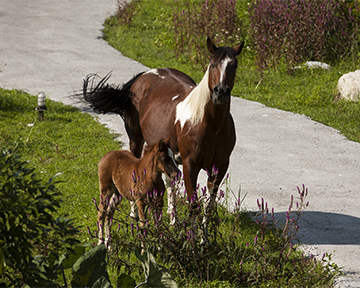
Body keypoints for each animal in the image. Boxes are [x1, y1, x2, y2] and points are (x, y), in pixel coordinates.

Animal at [80, 37, 245, 220]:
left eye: (234, 65)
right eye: (213, 64)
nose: (220, 92)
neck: (210, 124)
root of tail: (143, 76)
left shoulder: (220, 166)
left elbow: (208, 207)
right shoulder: (190, 165)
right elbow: (194, 205)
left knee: (170, 180)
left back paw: (171, 216)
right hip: (136, 140)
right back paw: (134, 213)